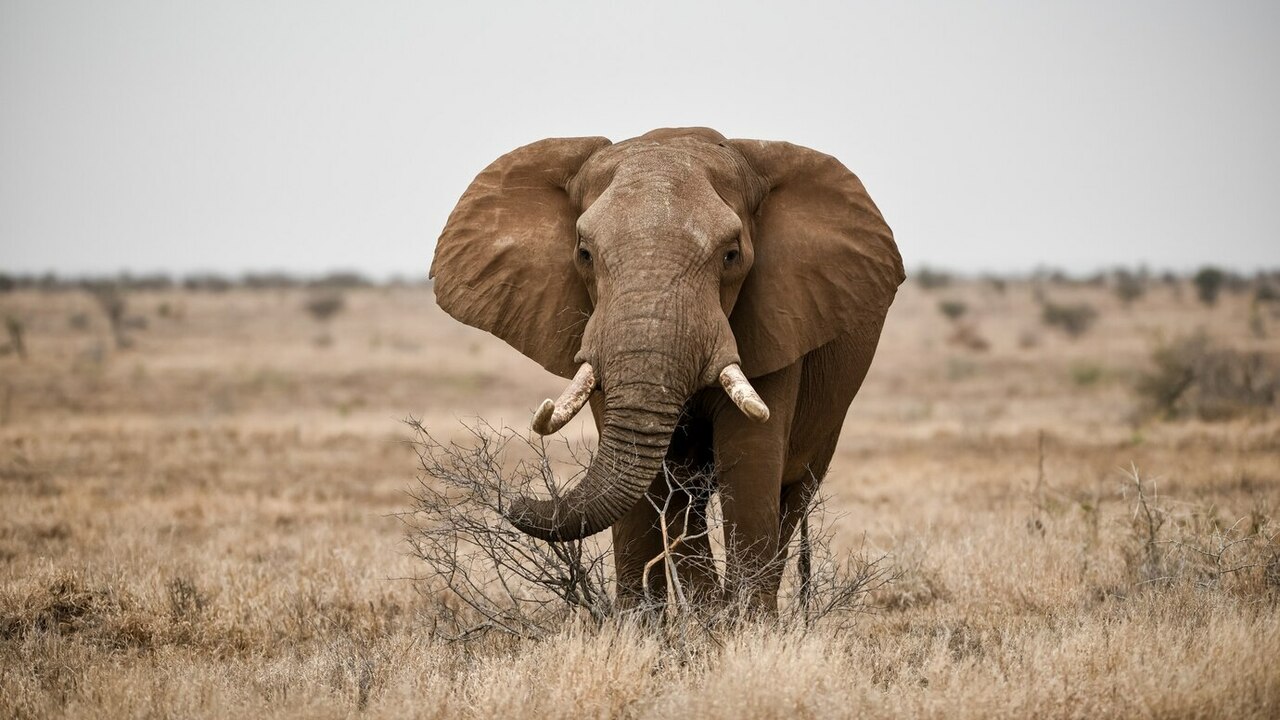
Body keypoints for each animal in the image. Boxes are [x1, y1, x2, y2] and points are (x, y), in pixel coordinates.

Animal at [435, 126, 906, 607]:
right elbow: (650, 482)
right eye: (584, 254)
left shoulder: (778, 321)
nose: (514, 500)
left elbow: (751, 461)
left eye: (731, 255)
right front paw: (641, 624)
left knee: (792, 495)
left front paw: (745, 625)